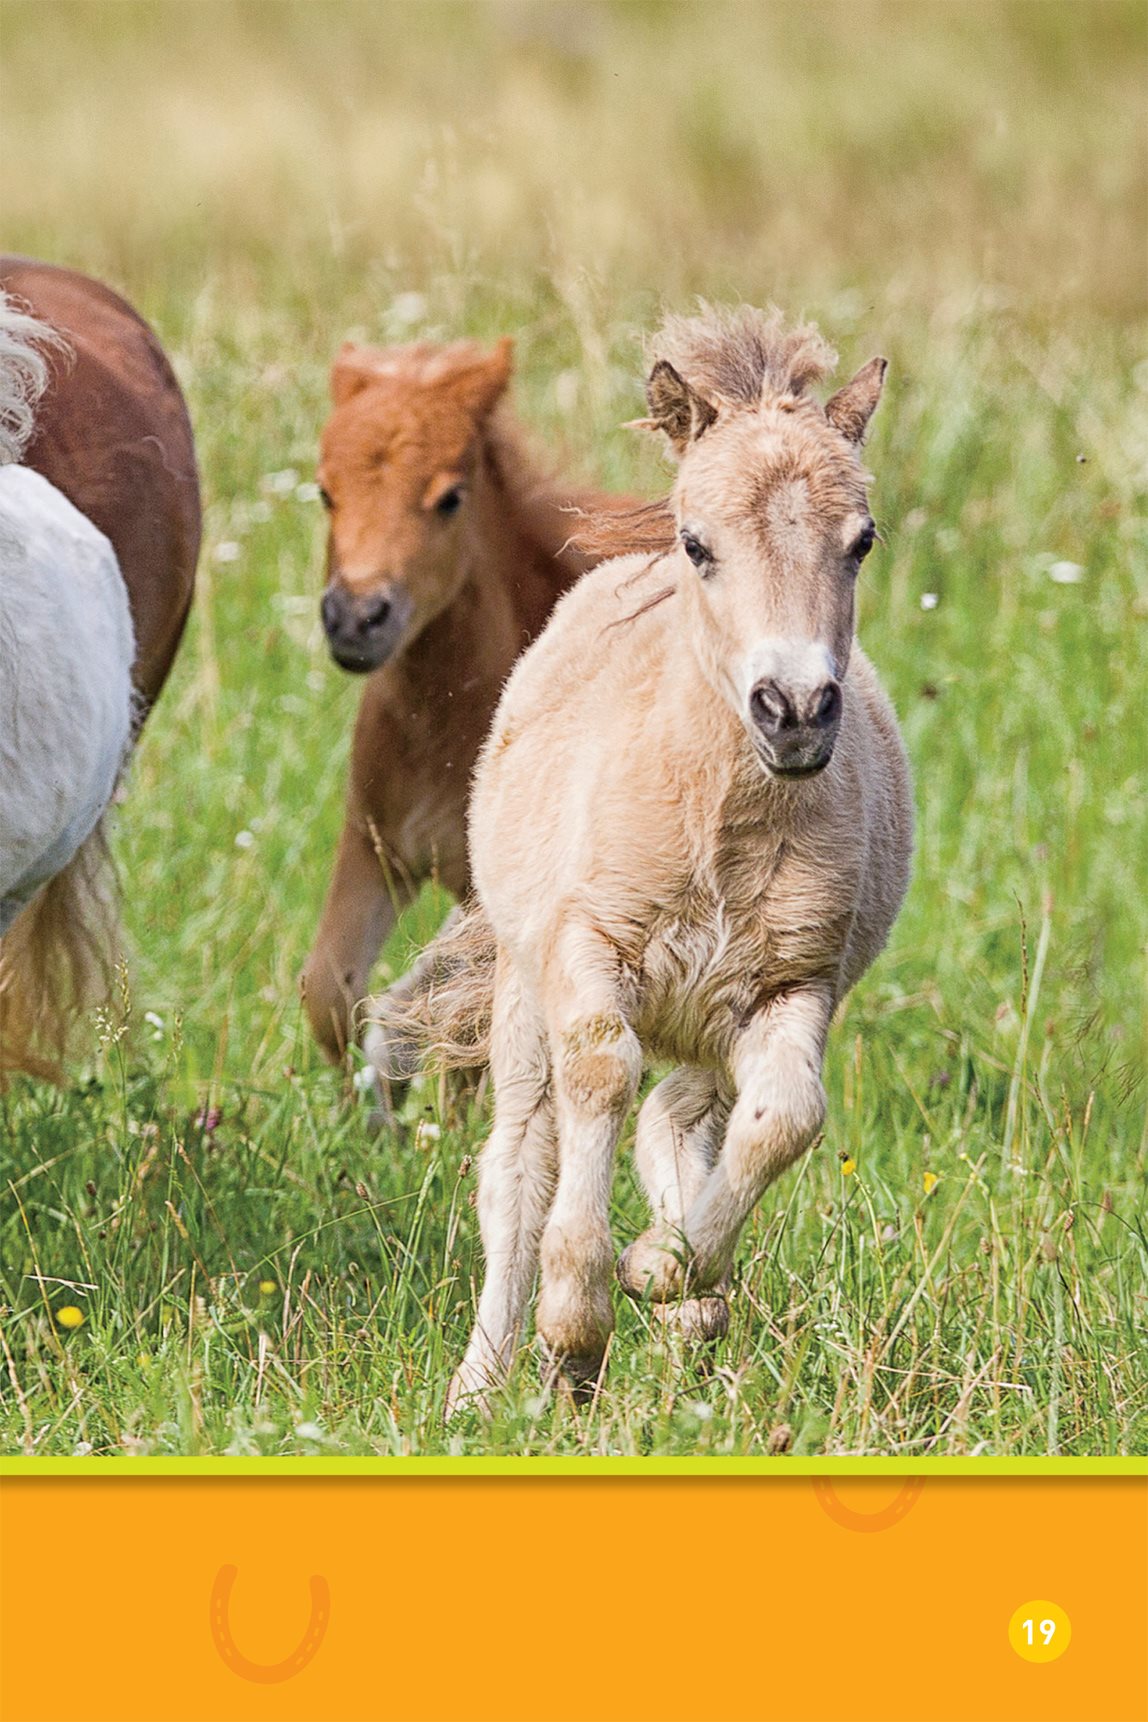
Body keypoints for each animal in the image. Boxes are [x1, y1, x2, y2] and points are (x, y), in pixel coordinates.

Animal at [302, 335, 636, 1074]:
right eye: (324, 492)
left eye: (450, 497)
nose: (356, 619)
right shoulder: (374, 846)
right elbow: (332, 994)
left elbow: (461, 1030)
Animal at [395, 306, 915, 1412]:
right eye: (697, 544)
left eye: (860, 541)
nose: (794, 711)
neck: (711, 823)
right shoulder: (585, 951)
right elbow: (596, 1079)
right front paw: (574, 1328)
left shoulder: (792, 983)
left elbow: (785, 1117)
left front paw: (664, 1270)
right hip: (521, 988)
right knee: (519, 1160)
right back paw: (481, 1385)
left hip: (709, 1020)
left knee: (680, 1117)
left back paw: (683, 1305)